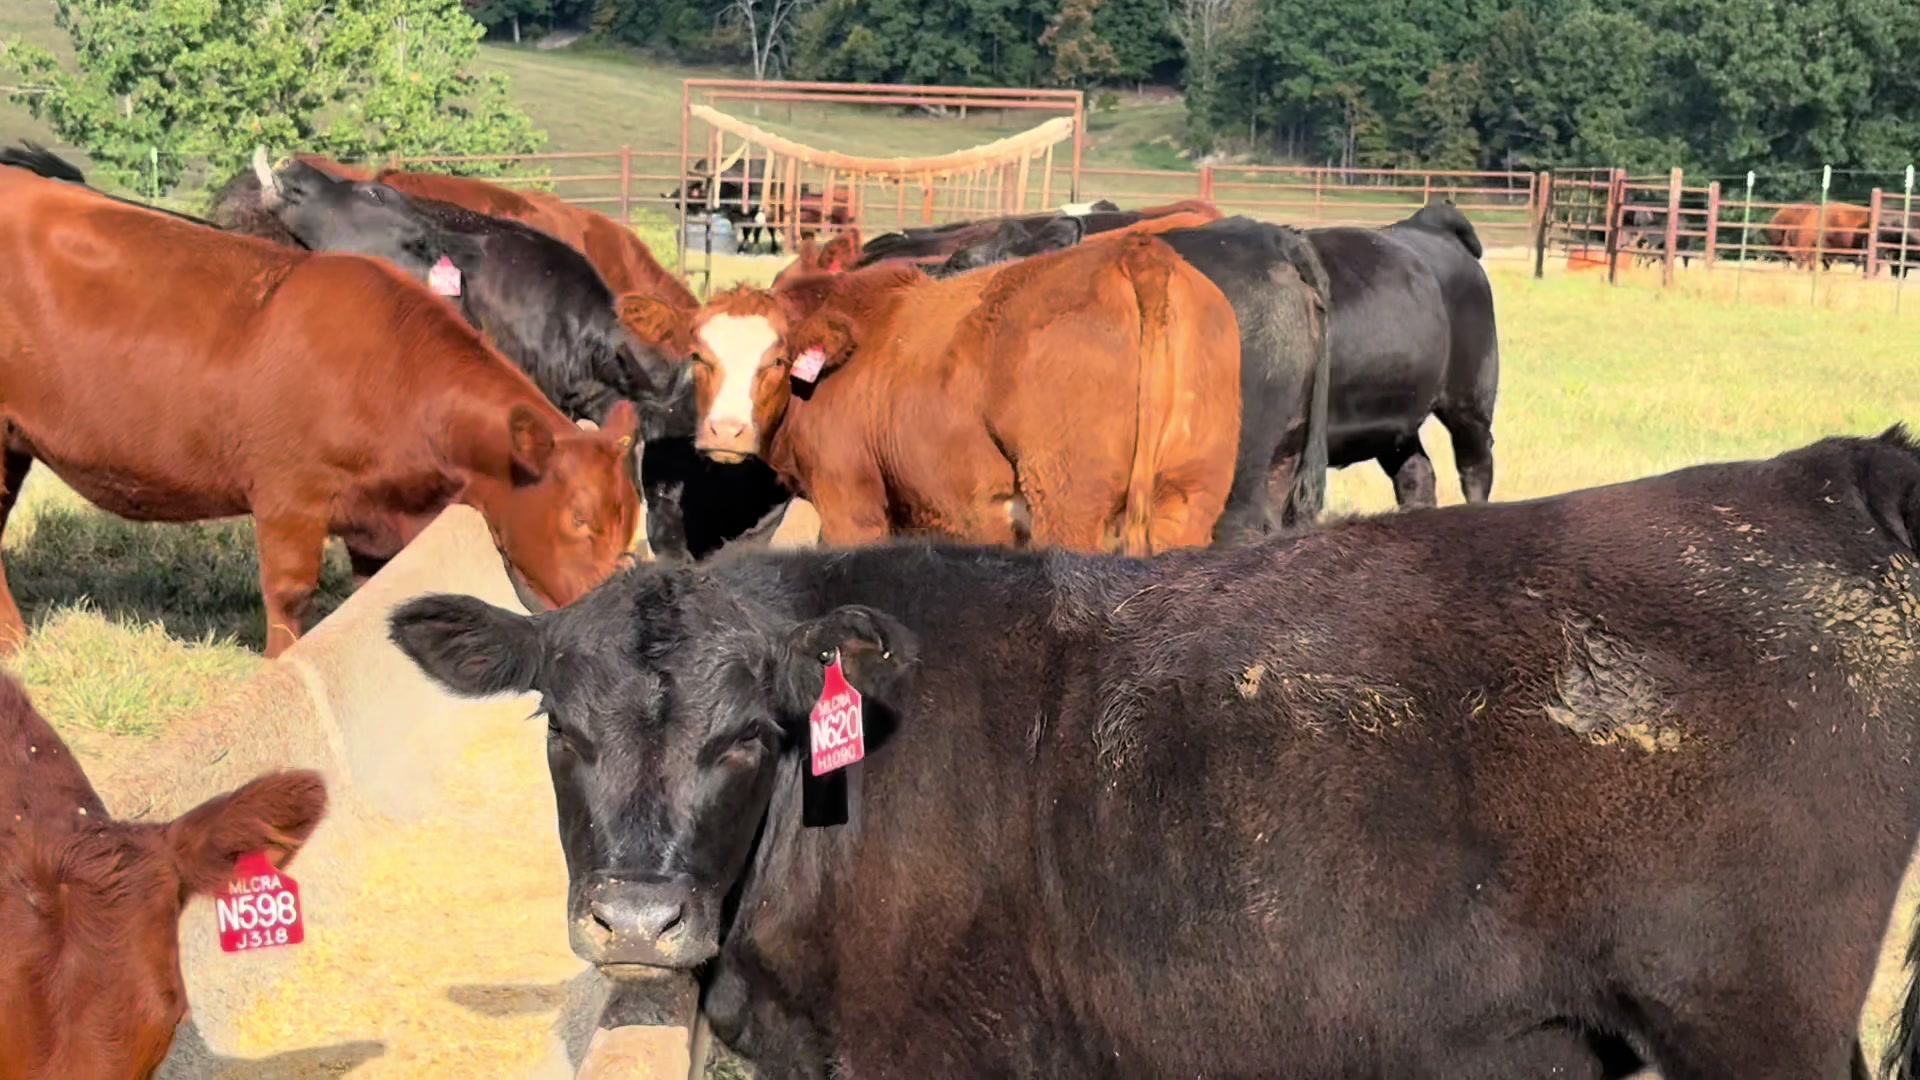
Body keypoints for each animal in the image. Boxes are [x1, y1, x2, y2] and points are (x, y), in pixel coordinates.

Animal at [0, 163, 643, 658]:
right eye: (579, 519)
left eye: (628, 524)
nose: (613, 618)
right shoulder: (289, 497)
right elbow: (290, 594)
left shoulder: (378, 520)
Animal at [623, 231, 1243, 555]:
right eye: (699, 356)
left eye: (776, 361)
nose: (726, 432)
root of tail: (1136, 253)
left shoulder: (851, 509)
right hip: (1186, 506)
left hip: (1069, 511)